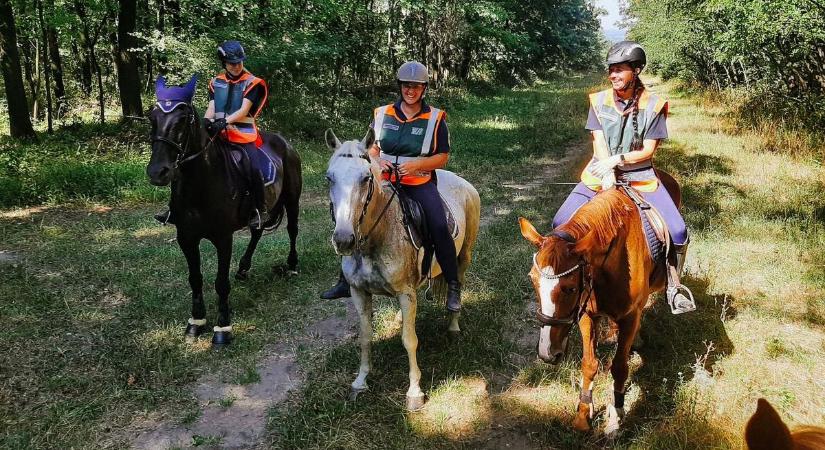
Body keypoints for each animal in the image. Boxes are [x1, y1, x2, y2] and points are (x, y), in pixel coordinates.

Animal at [146, 100, 300, 346]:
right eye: (152, 118)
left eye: (182, 121)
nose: (157, 172)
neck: (200, 184)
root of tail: (285, 142)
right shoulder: (186, 238)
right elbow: (195, 278)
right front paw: (195, 322)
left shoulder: (223, 238)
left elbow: (221, 283)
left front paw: (223, 328)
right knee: (257, 232)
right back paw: (244, 268)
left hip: (292, 198)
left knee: (292, 229)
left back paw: (292, 265)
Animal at [520, 171, 684, 434]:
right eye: (532, 280)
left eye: (570, 288)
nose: (547, 353)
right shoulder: (587, 314)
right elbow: (589, 363)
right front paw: (583, 413)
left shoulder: (630, 315)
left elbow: (619, 366)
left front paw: (616, 416)